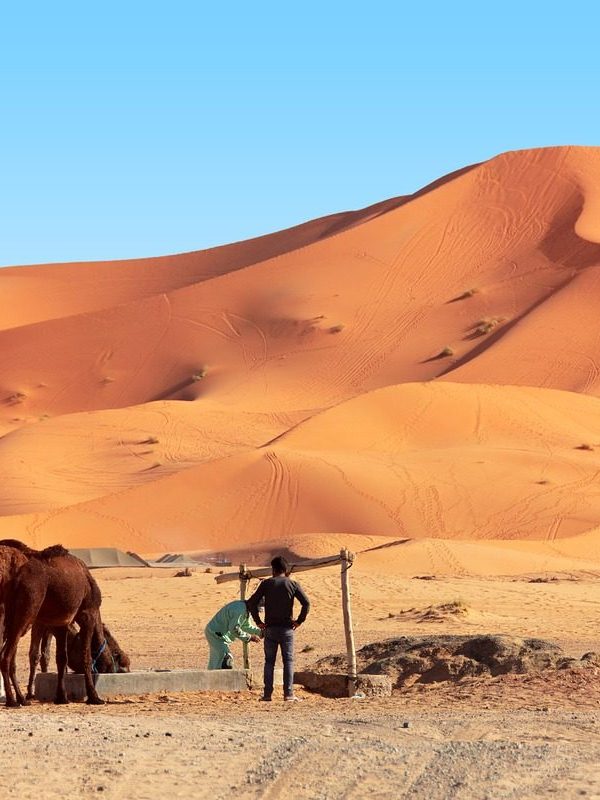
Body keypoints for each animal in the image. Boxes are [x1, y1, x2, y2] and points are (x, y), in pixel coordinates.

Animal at [1, 544, 106, 706]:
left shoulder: (61, 623)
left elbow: (61, 658)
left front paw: (61, 697)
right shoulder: (88, 614)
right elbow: (86, 656)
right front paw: (94, 697)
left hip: (9, 614)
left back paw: (20, 699)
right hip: (27, 609)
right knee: (6, 656)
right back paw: (13, 700)